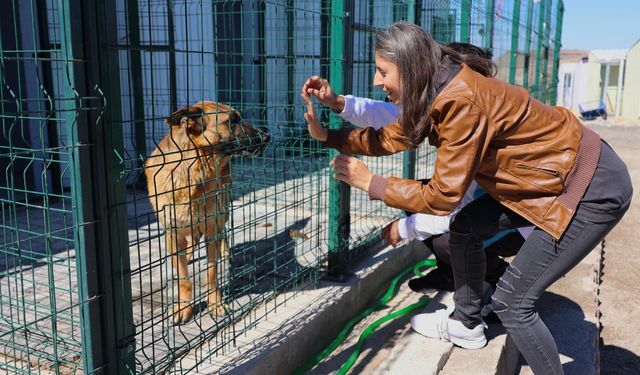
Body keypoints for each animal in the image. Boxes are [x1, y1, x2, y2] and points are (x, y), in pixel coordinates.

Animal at [146, 101, 268, 324]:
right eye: (232, 120)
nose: (267, 136)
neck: (193, 171)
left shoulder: (212, 228)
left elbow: (211, 272)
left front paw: (215, 304)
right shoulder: (173, 233)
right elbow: (183, 278)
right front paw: (184, 308)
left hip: (223, 210)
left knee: (222, 233)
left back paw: (224, 252)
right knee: (192, 241)